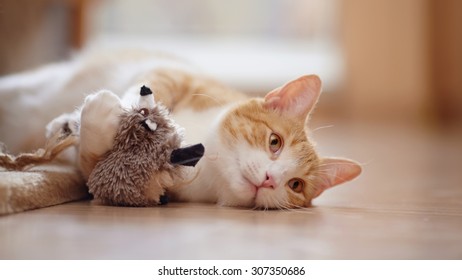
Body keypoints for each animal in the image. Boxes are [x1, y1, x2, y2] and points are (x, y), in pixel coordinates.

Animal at [0, 48, 360, 210]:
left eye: (296, 185)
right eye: (275, 142)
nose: (271, 180)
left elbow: (94, 165)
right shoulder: (175, 73)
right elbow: (147, 94)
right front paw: (118, 116)